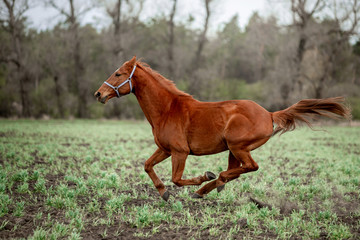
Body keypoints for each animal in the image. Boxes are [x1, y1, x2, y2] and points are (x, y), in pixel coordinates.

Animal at [94, 56, 350, 201]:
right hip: (232, 150)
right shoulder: (165, 149)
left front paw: (198, 179)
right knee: (238, 170)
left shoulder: (180, 152)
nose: (98, 94)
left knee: (250, 167)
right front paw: (164, 194)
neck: (167, 110)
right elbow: (147, 166)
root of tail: (268, 114)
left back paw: (209, 183)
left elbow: (177, 179)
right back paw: (211, 187)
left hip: (238, 146)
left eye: (118, 73)